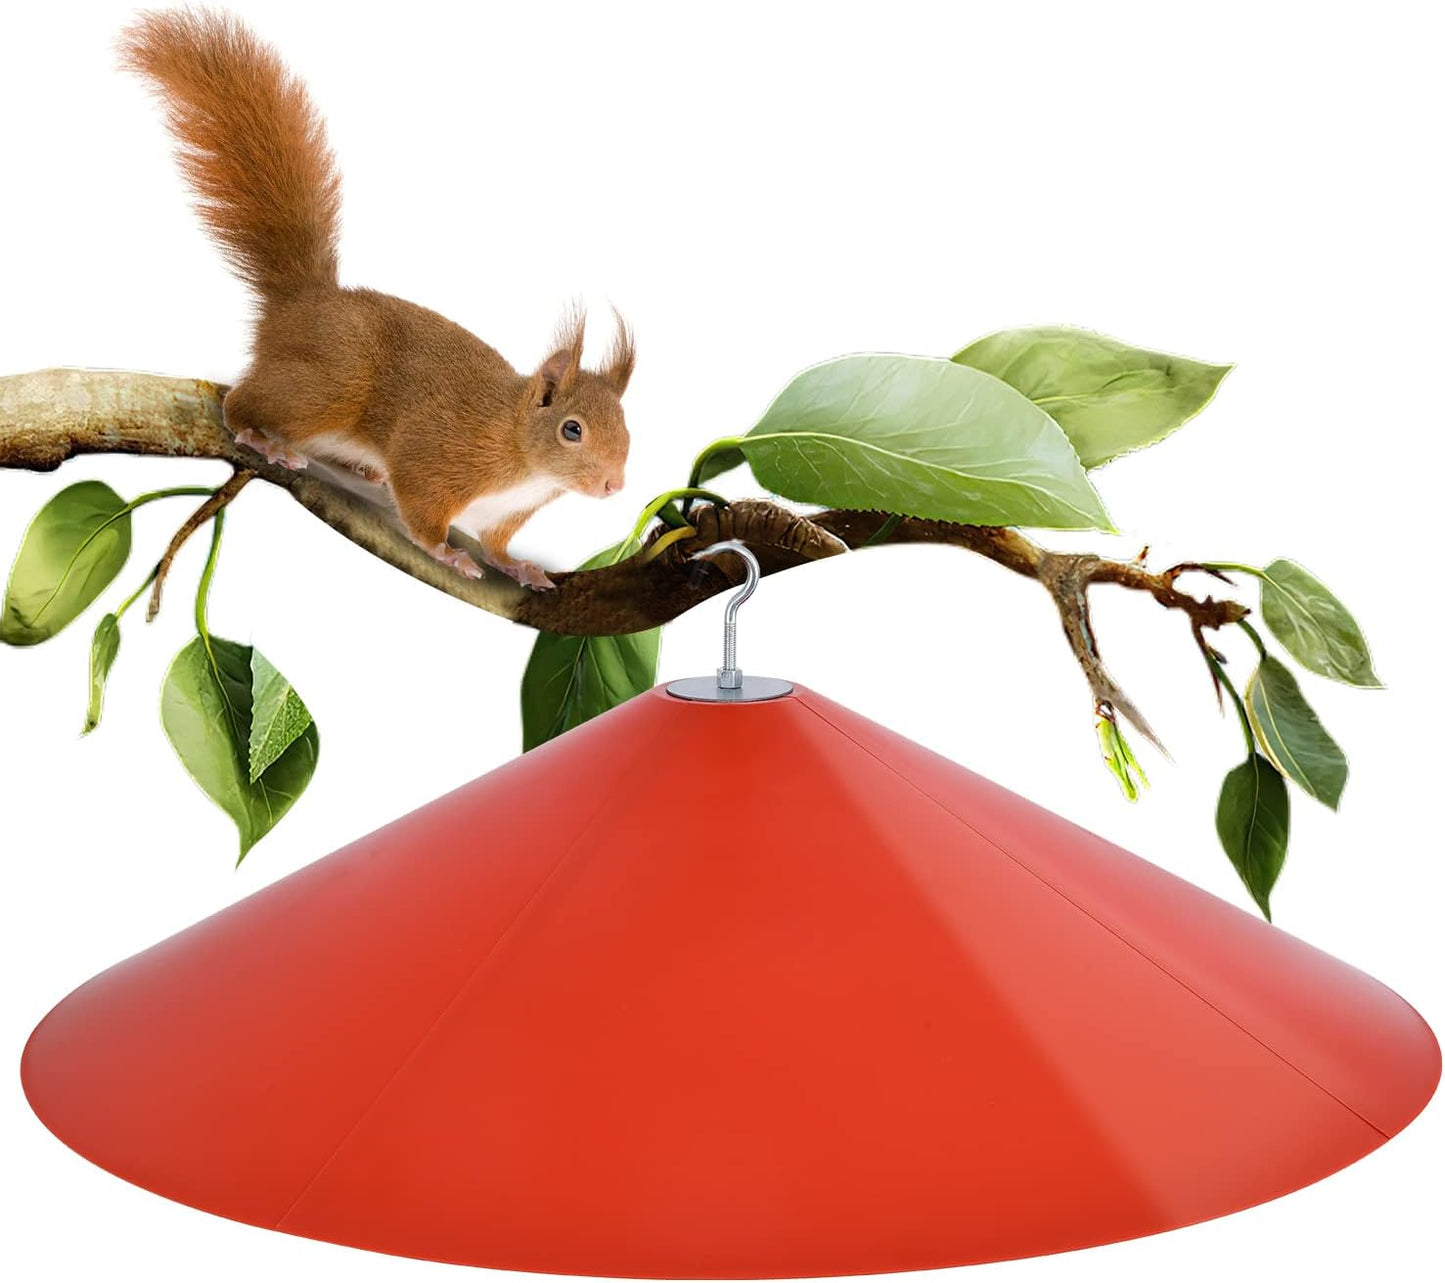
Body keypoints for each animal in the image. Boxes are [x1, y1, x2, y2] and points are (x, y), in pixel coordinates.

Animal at [119, 8, 632, 590]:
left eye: (626, 425)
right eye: (572, 430)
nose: (614, 485)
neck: (520, 451)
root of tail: (303, 302)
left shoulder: (505, 514)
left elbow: (498, 545)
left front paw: (518, 566)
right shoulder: (436, 455)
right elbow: (421, 504)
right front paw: (446, 553)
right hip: (327, 387)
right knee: (239, 403)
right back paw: (262, 437)